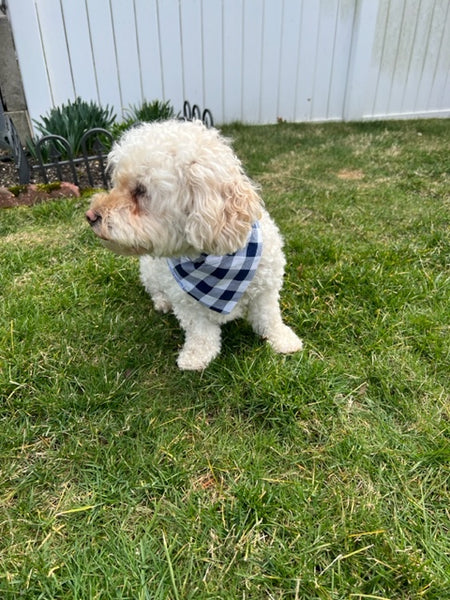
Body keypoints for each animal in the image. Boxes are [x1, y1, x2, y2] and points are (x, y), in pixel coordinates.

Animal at [86, 119, 302, 368]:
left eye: (140, 190)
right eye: (116, 183)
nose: (90, 216)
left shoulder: (266, 289)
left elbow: (269, 317)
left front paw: (282, 339)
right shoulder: (186, 302)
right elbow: (200, 332)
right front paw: (197, 357)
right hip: (149, 271)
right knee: (154, 290)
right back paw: (162, 302)